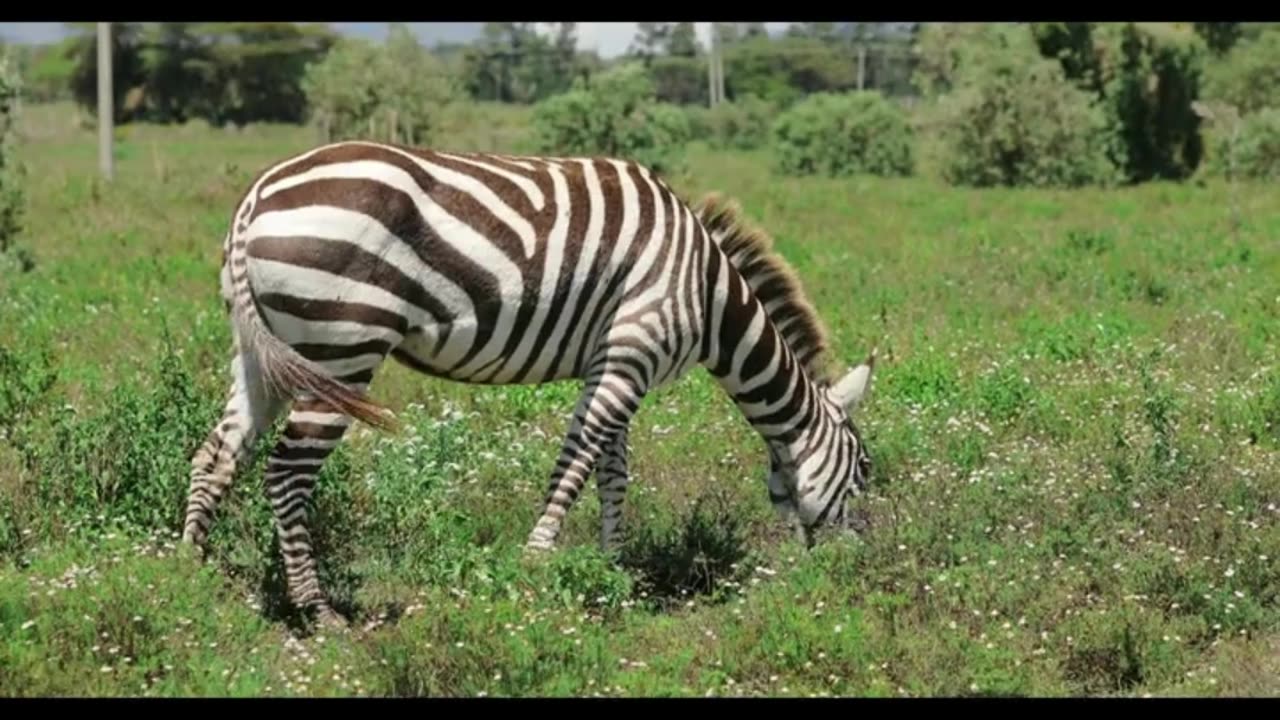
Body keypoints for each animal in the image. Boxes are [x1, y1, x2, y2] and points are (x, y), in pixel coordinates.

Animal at [180, 139, 875, 622]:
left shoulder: (615, 360)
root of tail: (256, 196)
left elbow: (613, 470)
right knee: (285, 472)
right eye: (864, 472)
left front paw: (613, 570)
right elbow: (577, 460)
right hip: (339, 351)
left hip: (261, 351)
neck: (706, 293)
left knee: (217, 454)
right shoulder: (635, 348)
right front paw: (538, 562)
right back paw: (317, 611)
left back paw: (189, 572)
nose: (855, 565)